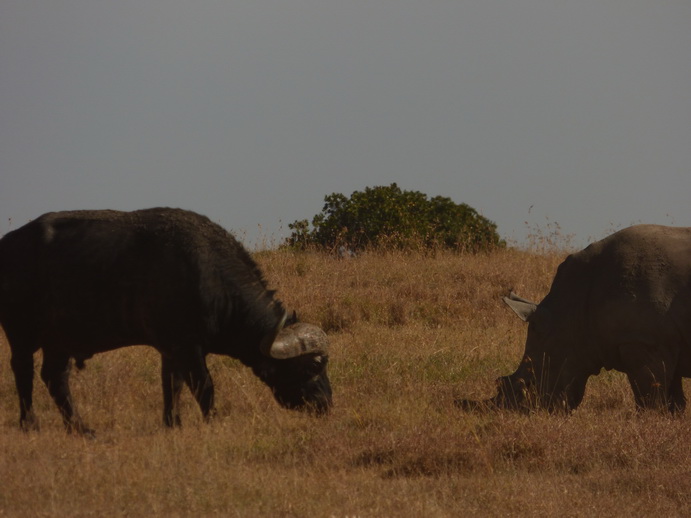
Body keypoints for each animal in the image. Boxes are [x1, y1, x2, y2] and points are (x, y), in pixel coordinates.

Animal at [0, 207, 332, 434]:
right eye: (311, 366)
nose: (326, 403)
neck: (210, 279)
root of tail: (8, 244)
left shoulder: (171, 351)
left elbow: (172, 387)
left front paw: (173, 423)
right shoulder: (189, 348)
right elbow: (204, 387)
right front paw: (212, 422)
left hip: (59, 341)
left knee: (55, 378)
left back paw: (80, 429)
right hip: (21, 335)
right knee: (24, 372)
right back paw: (31, 423)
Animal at [460, 225, 691, 416]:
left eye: (527, 385)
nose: (514, 413)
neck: (570, 313)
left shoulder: (643, 341)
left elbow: (650, 399)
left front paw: (649, 421)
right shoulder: (662, 343)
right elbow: (673, 400)